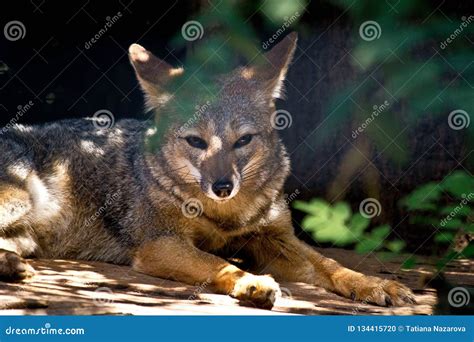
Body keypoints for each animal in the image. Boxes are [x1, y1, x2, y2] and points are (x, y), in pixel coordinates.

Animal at [0, 32, 414, 310]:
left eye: (243, 140)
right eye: (196, 142)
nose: (222, 186)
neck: (225, 217)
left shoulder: (277, 239)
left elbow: (331, 264)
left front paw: (375, 284)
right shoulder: (159, 243)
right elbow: (217, 262)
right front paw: (250, 283)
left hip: (27, 233)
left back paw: (12, 266)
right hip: (22, 199)